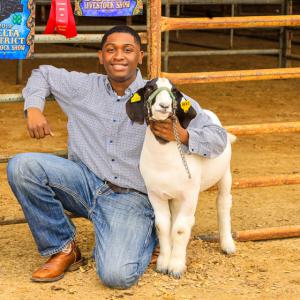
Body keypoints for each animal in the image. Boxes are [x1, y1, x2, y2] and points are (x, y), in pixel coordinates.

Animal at [125, 78, 236, 278]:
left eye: (174, 91)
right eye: (150, 88)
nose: (164, 105)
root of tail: (208, 112)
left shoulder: (190, 195)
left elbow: (180, 229)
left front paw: (176, 267)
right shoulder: (155, 194)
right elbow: (163, 226)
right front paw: (163, 264)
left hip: (225, 174)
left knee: (223, 204)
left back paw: (227, 245)